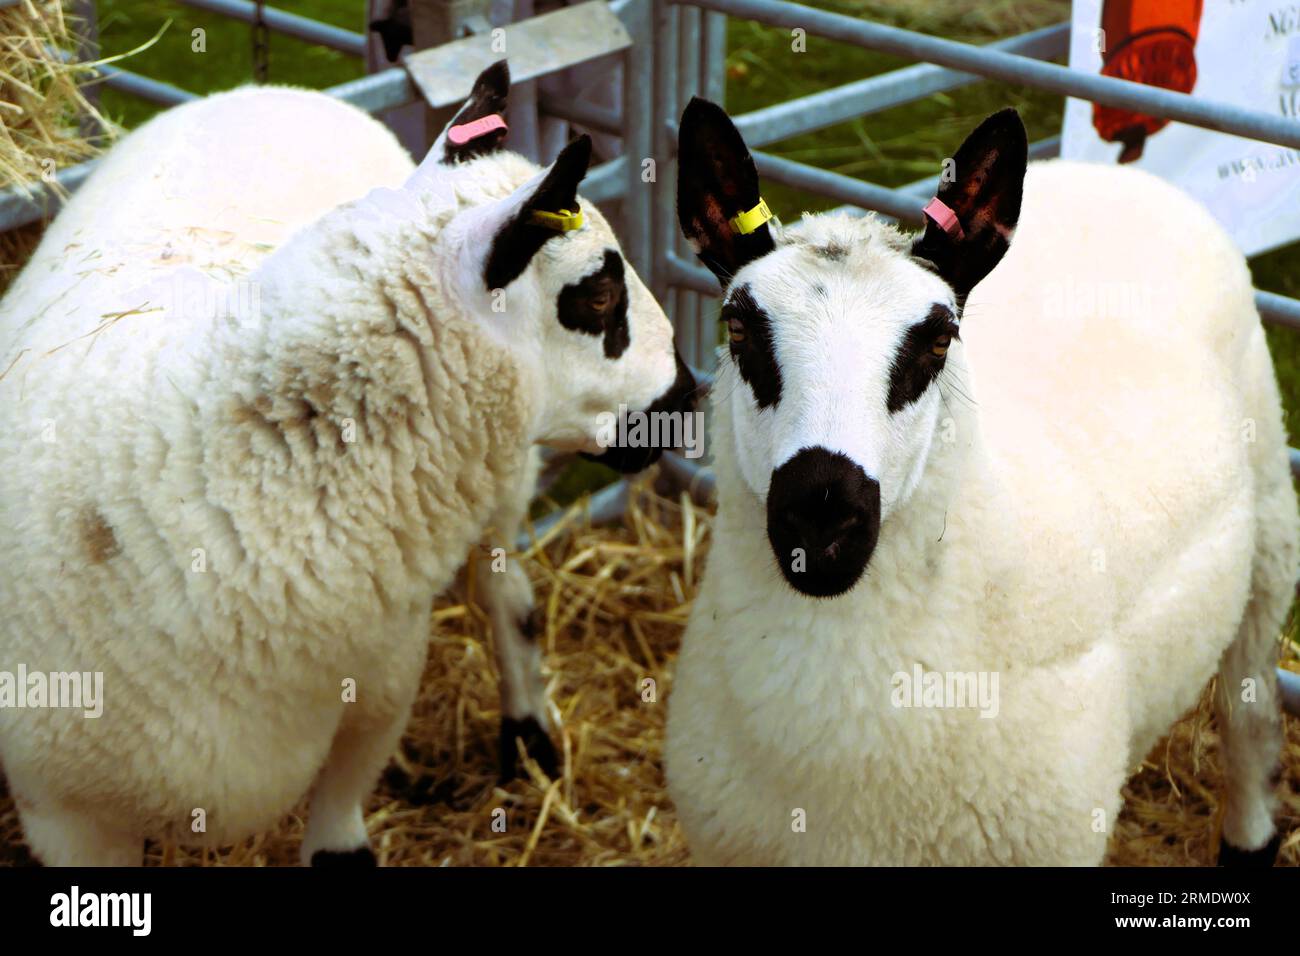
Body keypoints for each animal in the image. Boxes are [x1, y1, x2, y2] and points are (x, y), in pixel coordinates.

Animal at [0, 61, 696, 868]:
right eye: (600, 293)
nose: (689, 392)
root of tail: (276, 89)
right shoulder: (63, 815)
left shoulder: (375, 701)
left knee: (506, 590)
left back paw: (528, 733)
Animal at [665, 100, 1294, 868]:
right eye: (738, 327)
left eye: (938, 341)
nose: (821, 515)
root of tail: (1121, 178)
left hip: (1270, 520)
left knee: (1249, 705)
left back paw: (1249, 835)